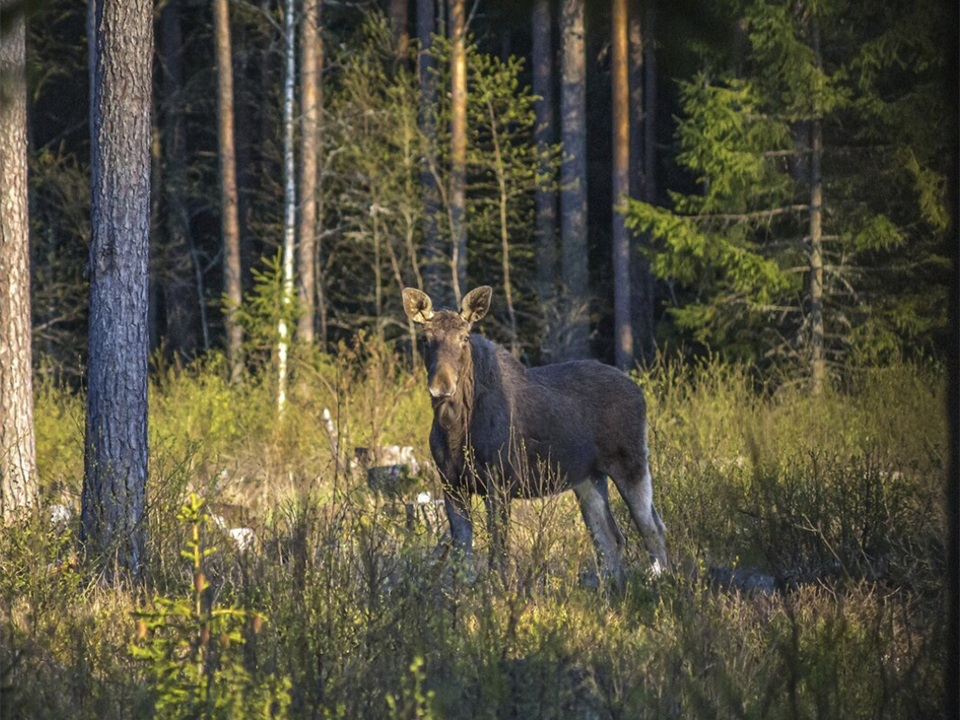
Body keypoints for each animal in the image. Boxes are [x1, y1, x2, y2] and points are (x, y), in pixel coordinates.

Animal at [404, 286, 668, 580]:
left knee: (653, 529)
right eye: (425, 339)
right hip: (588, 478)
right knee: (610, 538)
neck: (454, 429)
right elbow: (462, 559)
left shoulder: (499, 483)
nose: (442, 385)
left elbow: (498, 554)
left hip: (631, 462)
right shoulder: (451, 484)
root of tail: (639, 391)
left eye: (465, 337)